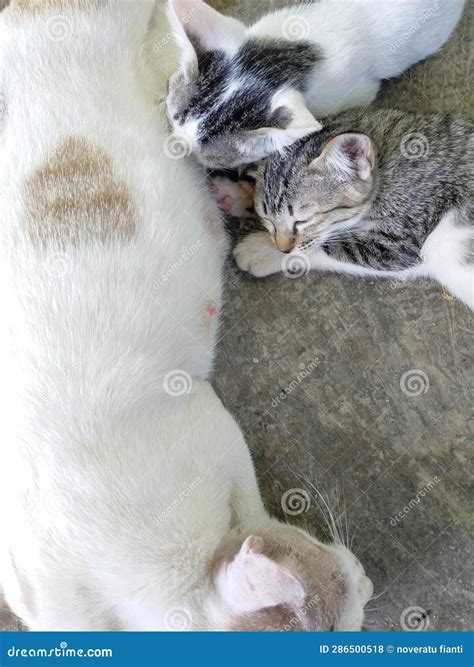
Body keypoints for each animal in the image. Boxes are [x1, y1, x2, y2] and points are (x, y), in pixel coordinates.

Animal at [216, 108, 474, 310]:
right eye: (267, 219)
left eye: (303, 220)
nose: (282, 248)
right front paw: (236, 194)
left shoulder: (404, 243)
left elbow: (323, 246)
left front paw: (261, 249)